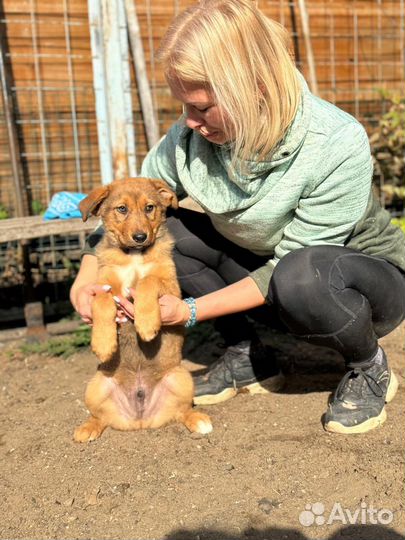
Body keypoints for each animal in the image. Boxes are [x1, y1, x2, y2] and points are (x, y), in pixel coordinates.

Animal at [73, 179, 211, 440]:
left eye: (149, 208)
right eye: (122, 209)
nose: (140, 237)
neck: (134, 256)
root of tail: (140, 420)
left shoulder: (171, 286)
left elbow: (148, 281)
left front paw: (146, 325)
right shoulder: (104, 285)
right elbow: (101, 302)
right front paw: (103, 344)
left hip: (182, 379)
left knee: (182, 410)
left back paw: (199, 420)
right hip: (95, 386)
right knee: (100, 417)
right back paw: (86, 429)